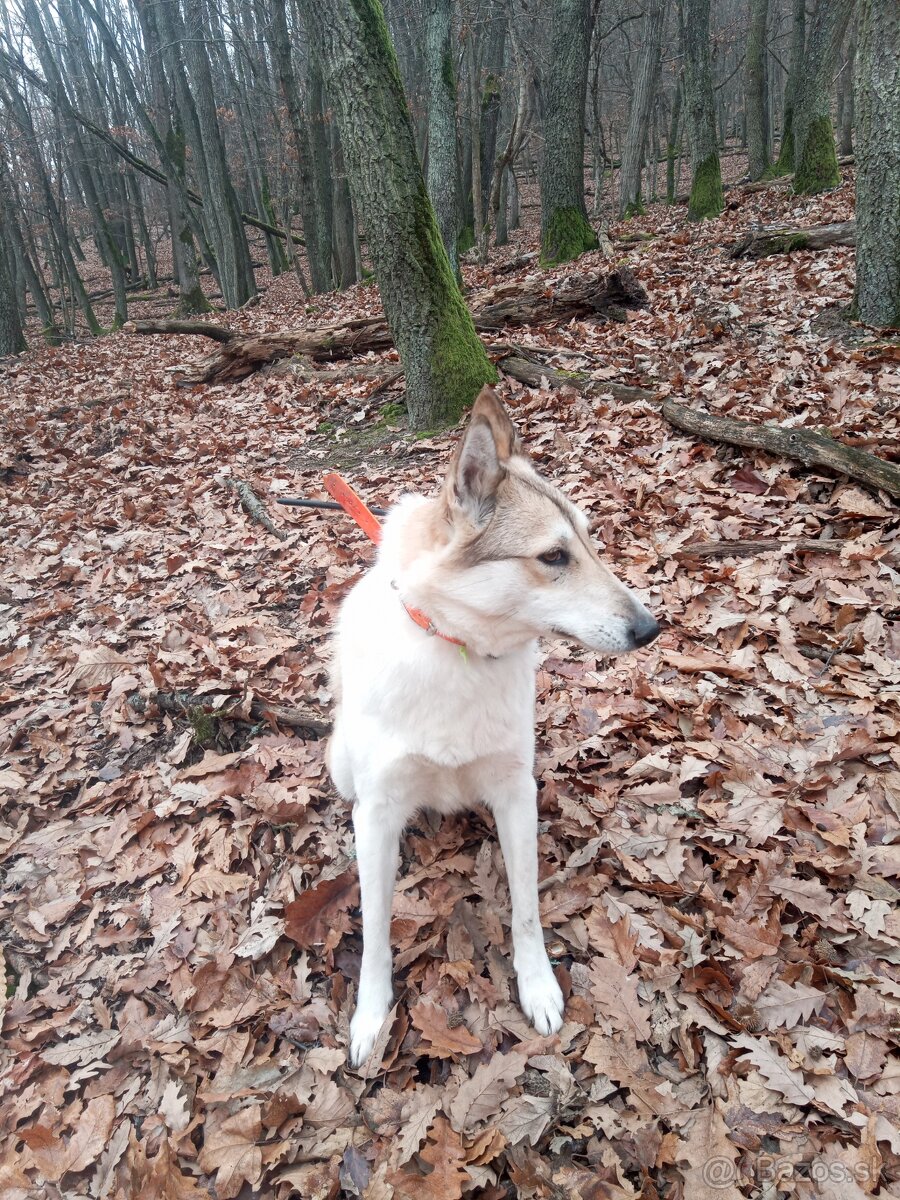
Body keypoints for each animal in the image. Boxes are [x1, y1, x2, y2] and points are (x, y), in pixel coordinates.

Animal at [328, 381, 657, 1060]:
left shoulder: (515, 793)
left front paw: (538, 987)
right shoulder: (377, 811)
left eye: (590, 542)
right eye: (553, 556)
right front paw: (371, 1017)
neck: (459, 649)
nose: (650, 628)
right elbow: (374, 934)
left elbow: (527, 909)